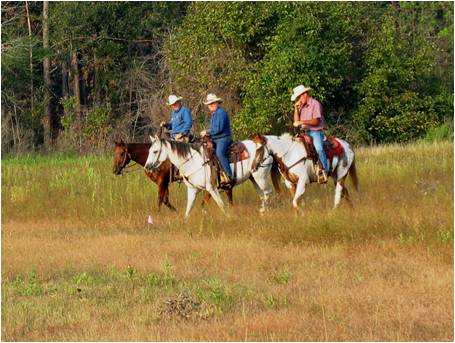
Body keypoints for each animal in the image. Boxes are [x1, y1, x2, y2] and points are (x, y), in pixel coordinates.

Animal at [144, 136, 280, 219]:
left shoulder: (211, 188)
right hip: (254, 179)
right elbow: (188, 209)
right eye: (149, 150)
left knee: (268, 193)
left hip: (261, 177)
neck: (193, 161)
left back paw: (264, 213)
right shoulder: (193, 190)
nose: (147, 167)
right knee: (262, 195)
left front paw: (229, 218)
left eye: (155, 151)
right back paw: (262, 212)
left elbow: (221, 205)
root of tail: (266, 148)